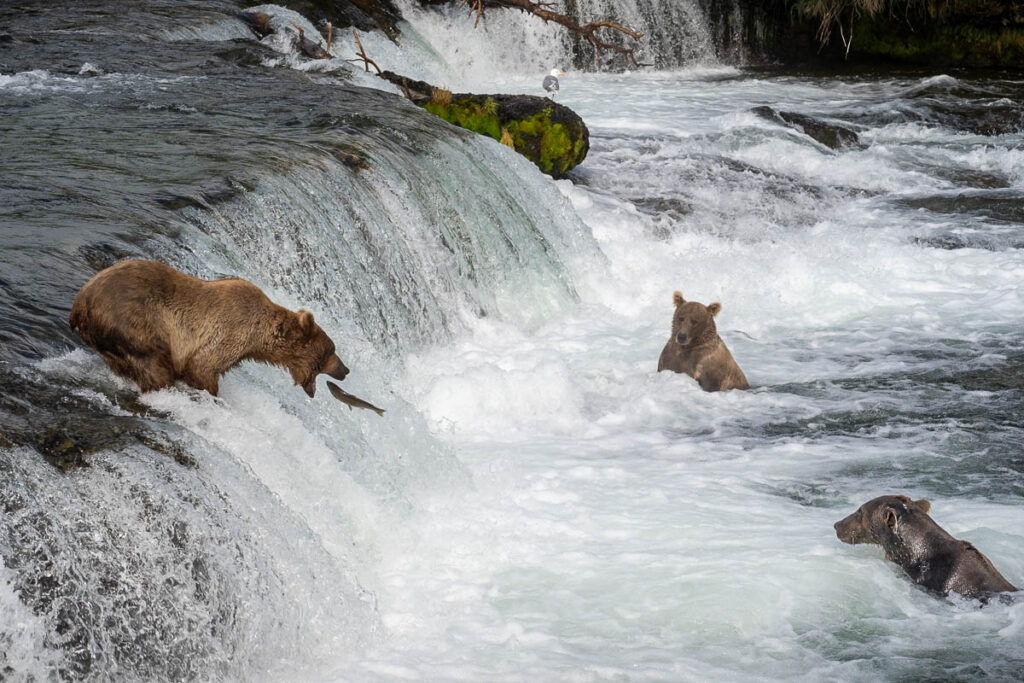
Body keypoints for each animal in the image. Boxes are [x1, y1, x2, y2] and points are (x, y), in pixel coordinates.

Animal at [69, 262, 348, 401]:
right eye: (331, 350)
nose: (345, 370)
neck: (259, 338)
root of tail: (79, 303)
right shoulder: (229, 330)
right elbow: (202, 367)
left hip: (108, 343)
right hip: (131, 323)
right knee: (154, 365)